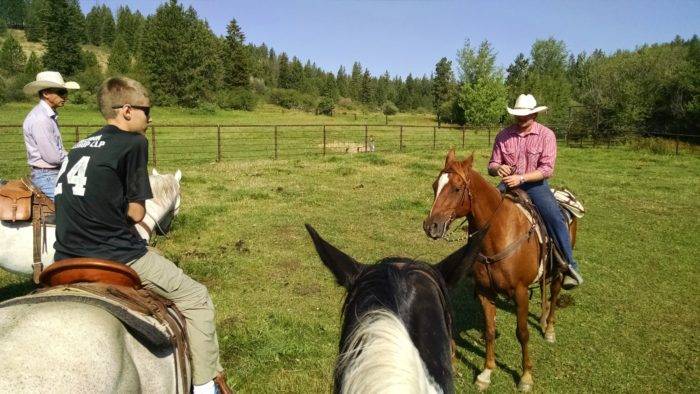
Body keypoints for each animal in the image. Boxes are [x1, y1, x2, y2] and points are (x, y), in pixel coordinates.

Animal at [422, 150, 576, 390]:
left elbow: (522, 333)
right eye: (434, 186)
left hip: (559, 269)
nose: (431, 227)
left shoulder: (521, 292)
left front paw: (526, 376)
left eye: (457, 188)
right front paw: (486, 372)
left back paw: (549, 329)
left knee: (555, 292)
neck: (500, 235)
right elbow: (490, 331)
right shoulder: (485, 292)